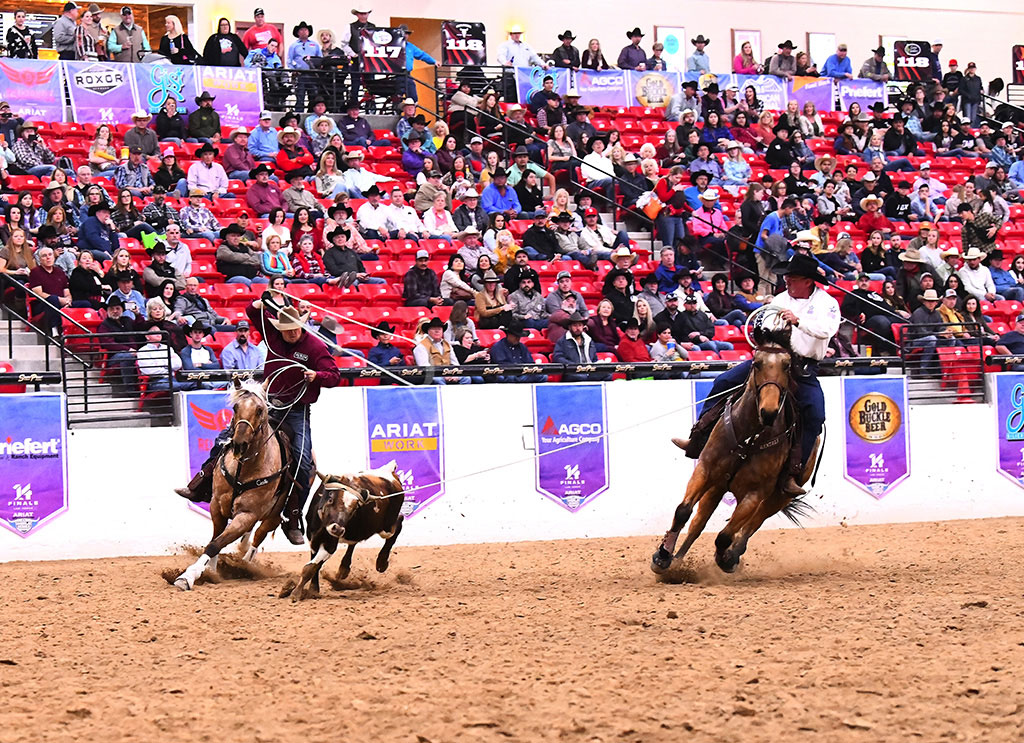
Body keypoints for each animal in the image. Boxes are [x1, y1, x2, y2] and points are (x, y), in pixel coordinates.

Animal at [173, 380, 292, 589]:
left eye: (260, 409)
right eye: (236, 407)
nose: (239, 444)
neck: (243, 468)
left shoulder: (247, 514)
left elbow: (216, 543)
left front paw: (188, 576)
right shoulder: (217, 505)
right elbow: (215, 539)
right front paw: (210, 571)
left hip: (274, 515)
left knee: (259, 534)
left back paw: (246, 563)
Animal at [651, 343, 819, 577]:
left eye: (787, 366)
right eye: (756, 363)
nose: (768, 412)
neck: (749, 438)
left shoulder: (754, 494)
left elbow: (725, 535)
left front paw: (725, 558)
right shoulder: (705, 470)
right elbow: (683, 511)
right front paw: (663, 556)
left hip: (779, 496)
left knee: (753, 524)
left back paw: (733, 554)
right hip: (717, 488)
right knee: (698, 523)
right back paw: (677, 561)